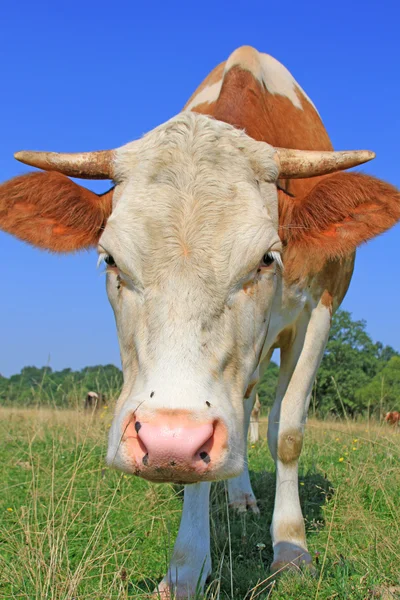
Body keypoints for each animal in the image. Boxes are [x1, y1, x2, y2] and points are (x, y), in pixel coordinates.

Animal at [0, 44, 400, 596]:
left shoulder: (320, 310)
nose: (170, 439)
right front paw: (187, 566)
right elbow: (199, 471)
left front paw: (291, 548)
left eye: (267, 258)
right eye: (110, 260)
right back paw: (239, 495)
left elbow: (288, 432)